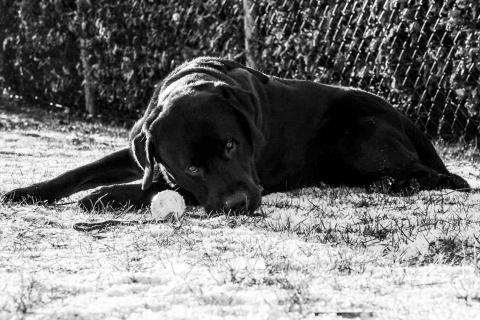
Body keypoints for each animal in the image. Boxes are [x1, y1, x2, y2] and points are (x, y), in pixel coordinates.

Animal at [1, 57, 470, 212]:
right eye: (191, 165)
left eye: (231, 144)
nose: (239, 204)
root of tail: (407, 118)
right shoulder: (142, 153)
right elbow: (81, 170)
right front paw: (25, 192)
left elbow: (149, 188)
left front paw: (103, 197)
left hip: (357, 135)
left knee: (439, 176)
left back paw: (395, 184)